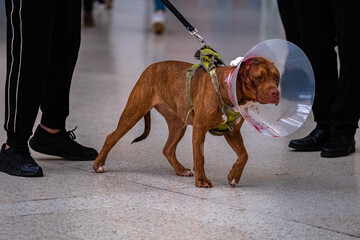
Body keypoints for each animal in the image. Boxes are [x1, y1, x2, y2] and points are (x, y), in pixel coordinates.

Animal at [92, 57, 278, 188]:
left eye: (277, 77)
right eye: (259, 77)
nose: (276, 92)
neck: (228, 89)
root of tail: (149, 68)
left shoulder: (232, 132)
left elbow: (244, 155)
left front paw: (234, 175)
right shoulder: (200, 129)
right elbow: (200, 157)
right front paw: (202, 180)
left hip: (177, 124)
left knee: (168, 149)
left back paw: (180, 170)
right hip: (134, 112)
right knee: (111, 137)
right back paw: (98, 164)